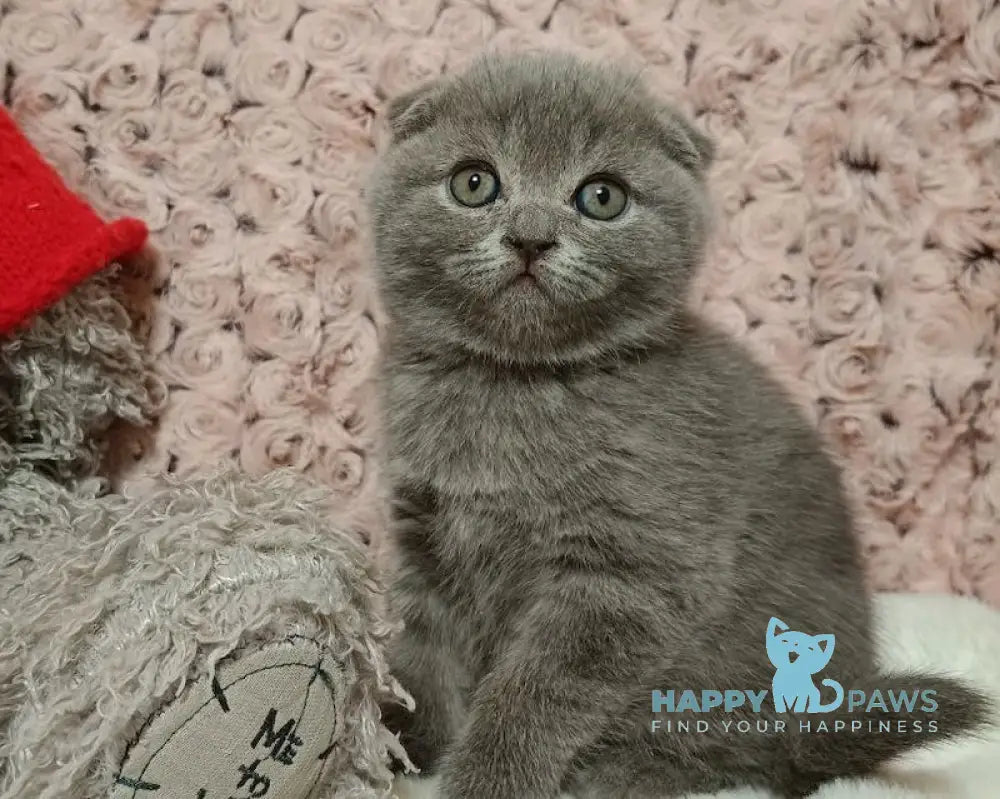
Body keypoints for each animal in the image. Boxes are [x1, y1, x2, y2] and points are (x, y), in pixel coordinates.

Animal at [370, 53, 984, 796]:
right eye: (473, 182)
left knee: (732, 752)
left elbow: (535, 691)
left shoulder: (631, 572)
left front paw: (487, 777)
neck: (512, 386)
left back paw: (615, 769)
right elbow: (421, 656)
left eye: (601, 197)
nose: (530, 237)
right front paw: (394, 744)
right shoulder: (425, 537)